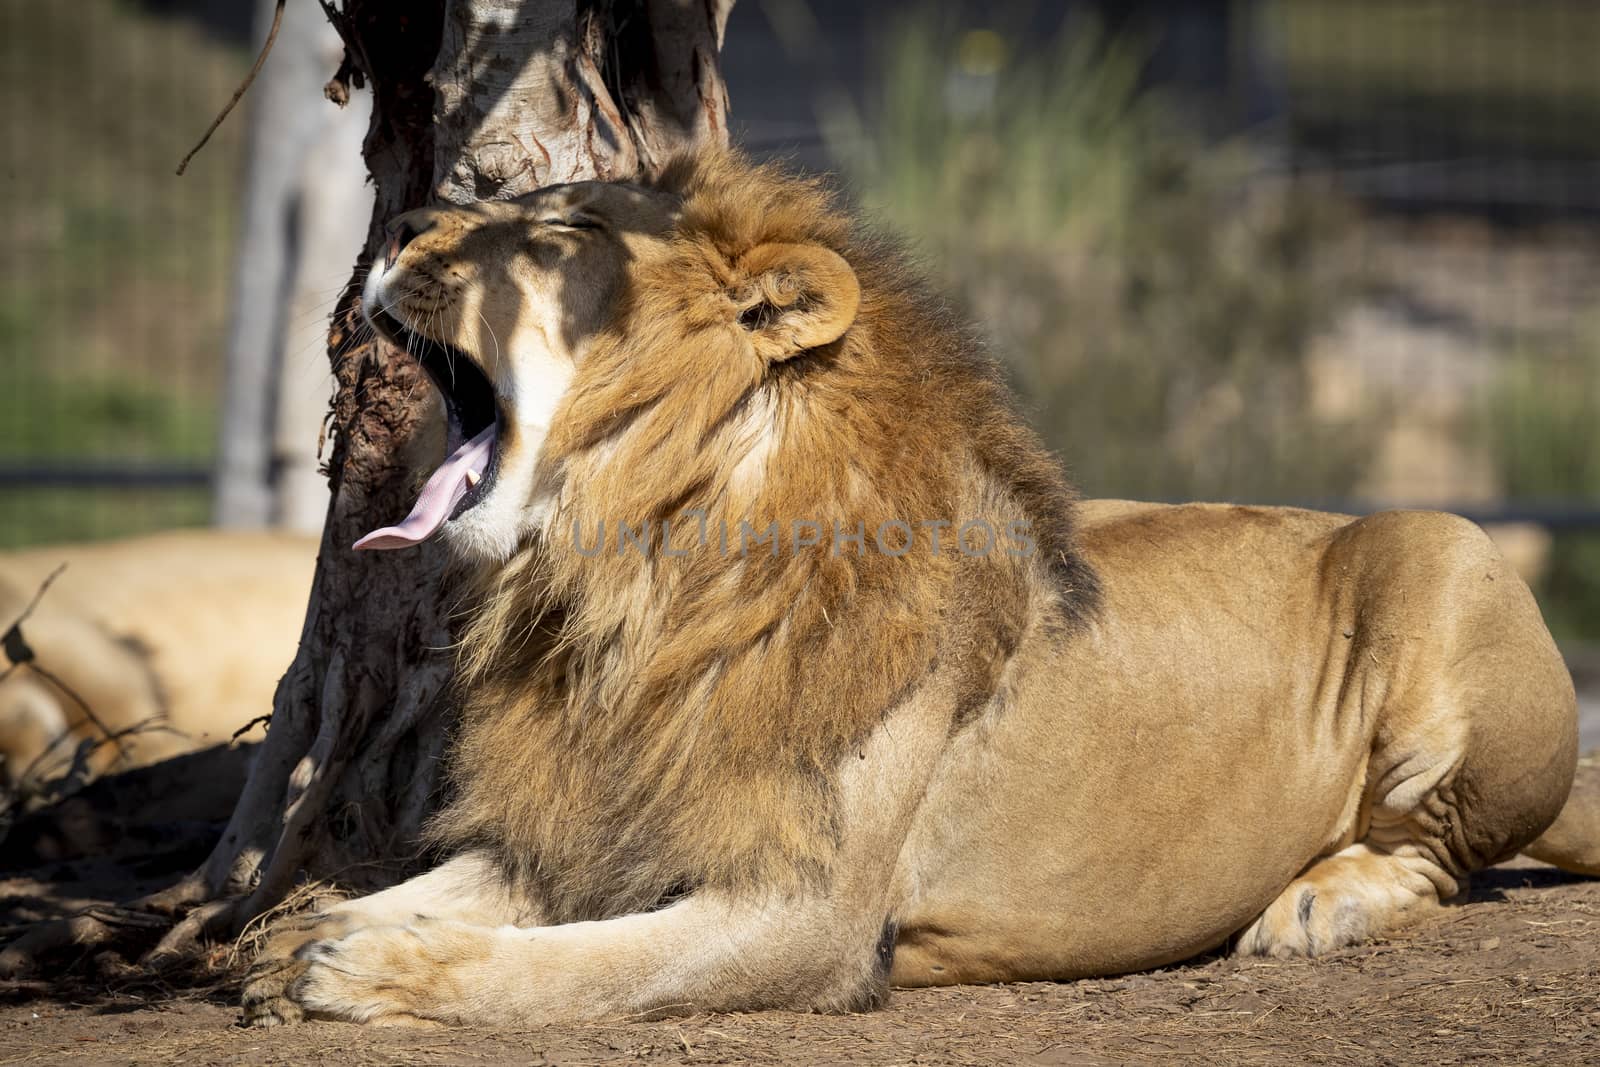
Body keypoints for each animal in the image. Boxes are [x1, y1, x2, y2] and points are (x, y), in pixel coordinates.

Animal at [240, 150, 1600, 1023]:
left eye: (560, 238)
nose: (395, 226)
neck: (635, 588)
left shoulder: (809, 914)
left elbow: (580, 969)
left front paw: (379, 973)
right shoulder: (590, 824)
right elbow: (433, 890)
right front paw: (307, 931)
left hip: (1446, 551)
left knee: (1439, 854)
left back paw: (1324, 900)